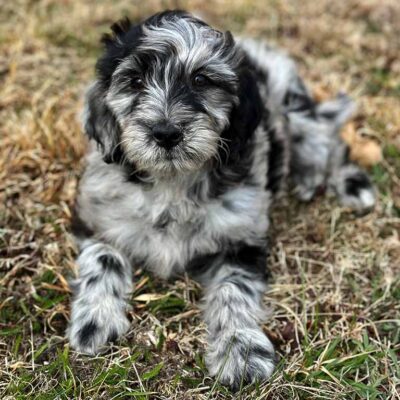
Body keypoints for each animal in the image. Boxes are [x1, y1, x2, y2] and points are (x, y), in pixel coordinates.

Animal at [67, 10, 376, 390]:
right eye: (135, 81)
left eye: (201, 80)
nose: (166, 133)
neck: (173, 182)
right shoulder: (97, 216)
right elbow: (102, 259)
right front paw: (94, 321)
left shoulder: (241, 237)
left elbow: (234, 290)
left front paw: (241, 351)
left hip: (297, 111)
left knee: (326, 141)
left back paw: (343, 182)